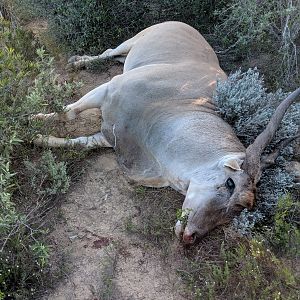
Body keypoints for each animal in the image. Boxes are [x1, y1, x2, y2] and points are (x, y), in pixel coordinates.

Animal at [34, 22, 300, 244]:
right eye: (229, 183)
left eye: (240, 209)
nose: (191, 236)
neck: (178, 109)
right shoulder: (109, 88)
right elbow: (69, 113)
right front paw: (31, 120)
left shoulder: (108, 137)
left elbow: (80, 143)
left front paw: (37, 138)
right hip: (132, 42)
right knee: (109, 51)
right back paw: (77, 62)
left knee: (116, 57)